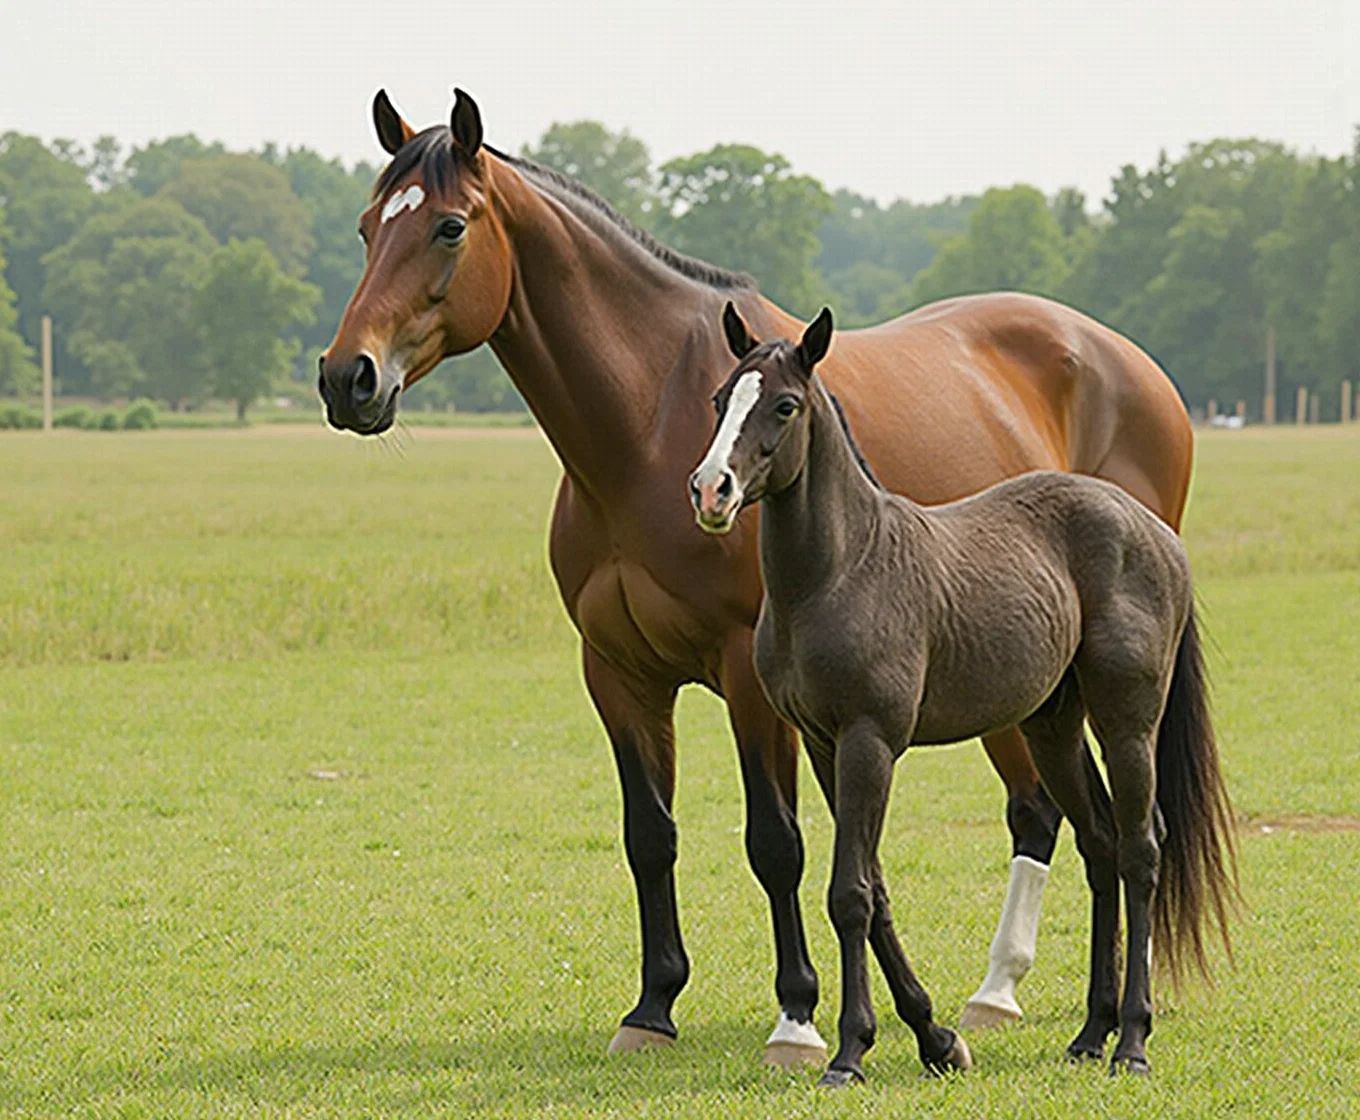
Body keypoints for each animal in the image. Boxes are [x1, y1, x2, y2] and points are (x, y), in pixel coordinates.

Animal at [318, 89, 1191, 1065]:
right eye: (367, 228)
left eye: (449, 227)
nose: (347, 378)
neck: (643, 431)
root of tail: (1127, 362)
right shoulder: (616, 672)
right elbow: (649, 835)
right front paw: (653, 1006)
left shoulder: (750, 676)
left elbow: (777, 843)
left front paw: (799, 1019)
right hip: (1038, 694)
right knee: (1078, 821)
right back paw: (1046, 1012)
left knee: (1054, 818)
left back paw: (1009, 998)